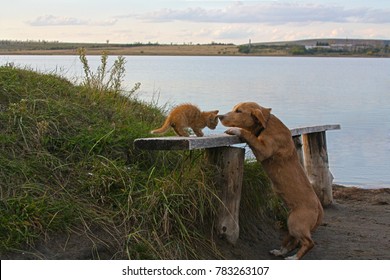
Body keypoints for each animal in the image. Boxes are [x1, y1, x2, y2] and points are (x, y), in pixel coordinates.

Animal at [219, 101, 322, 260]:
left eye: (239, 111)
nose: (220, 116)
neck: (266, 124)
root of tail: (319, 209)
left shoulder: (264, 150)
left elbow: (249, 135)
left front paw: (236, 130)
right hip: (291, 222)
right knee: (293, 241)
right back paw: (281, 251)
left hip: (296, 222)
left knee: (309, 243)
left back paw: (294, 257)